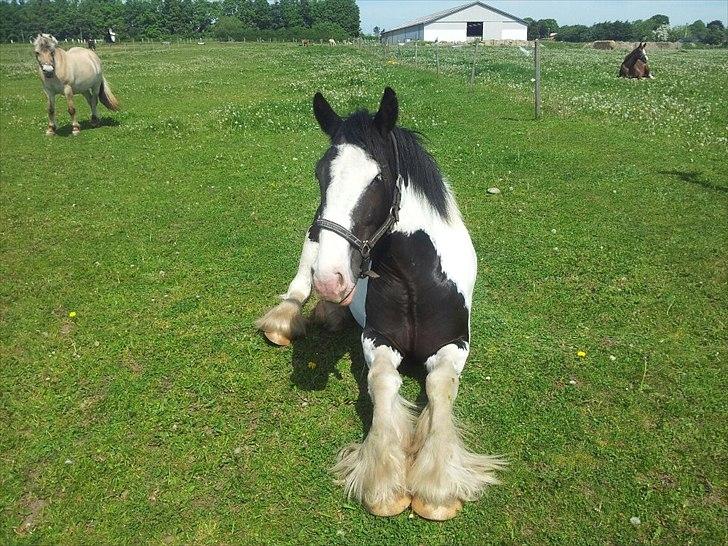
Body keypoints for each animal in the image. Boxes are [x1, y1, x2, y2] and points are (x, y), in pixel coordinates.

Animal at [253, 87, 504, 516]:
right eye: (320, 173)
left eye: (379, 178)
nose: (331, 278)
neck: (415, 280)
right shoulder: (377, 337)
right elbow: (384, 382)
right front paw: (385, 481)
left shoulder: (455, 343)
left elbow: (440, 386)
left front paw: (437, 486)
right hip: (311, 251)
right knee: (297, 289)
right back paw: (287, 319)